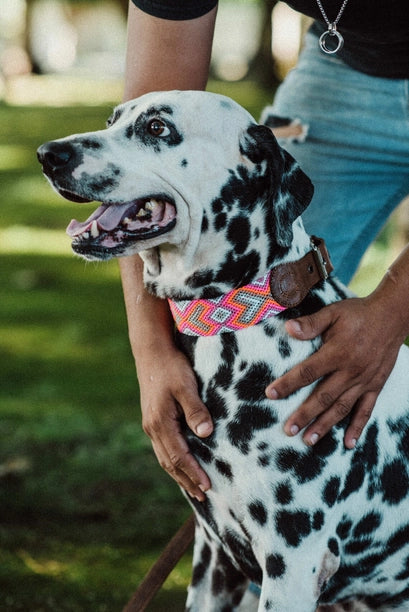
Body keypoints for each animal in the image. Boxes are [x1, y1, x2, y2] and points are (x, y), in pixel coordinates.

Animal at [39, 92, 409, 612]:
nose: (49, 154)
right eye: (112, 120)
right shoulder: (214, 557)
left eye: (157, 127)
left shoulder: (293, 562)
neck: (238, 321)